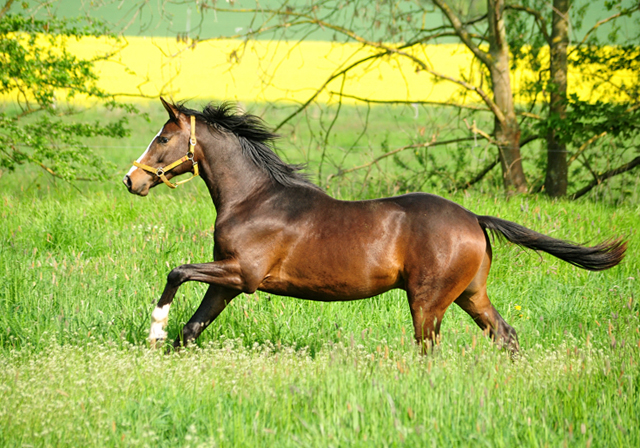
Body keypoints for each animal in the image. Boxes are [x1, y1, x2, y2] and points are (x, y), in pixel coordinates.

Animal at [122, 100, 628, 356]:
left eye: (162, 138)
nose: (131, 180)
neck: (254, 199)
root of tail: (474, 219)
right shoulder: (228, 279)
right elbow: (193, 328)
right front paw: (167, 344)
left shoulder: (242, 275)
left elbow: (176, 271)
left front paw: (154, 328)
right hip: (471, 295)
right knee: (506, 335)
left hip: (427, 302)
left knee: (430, 349)